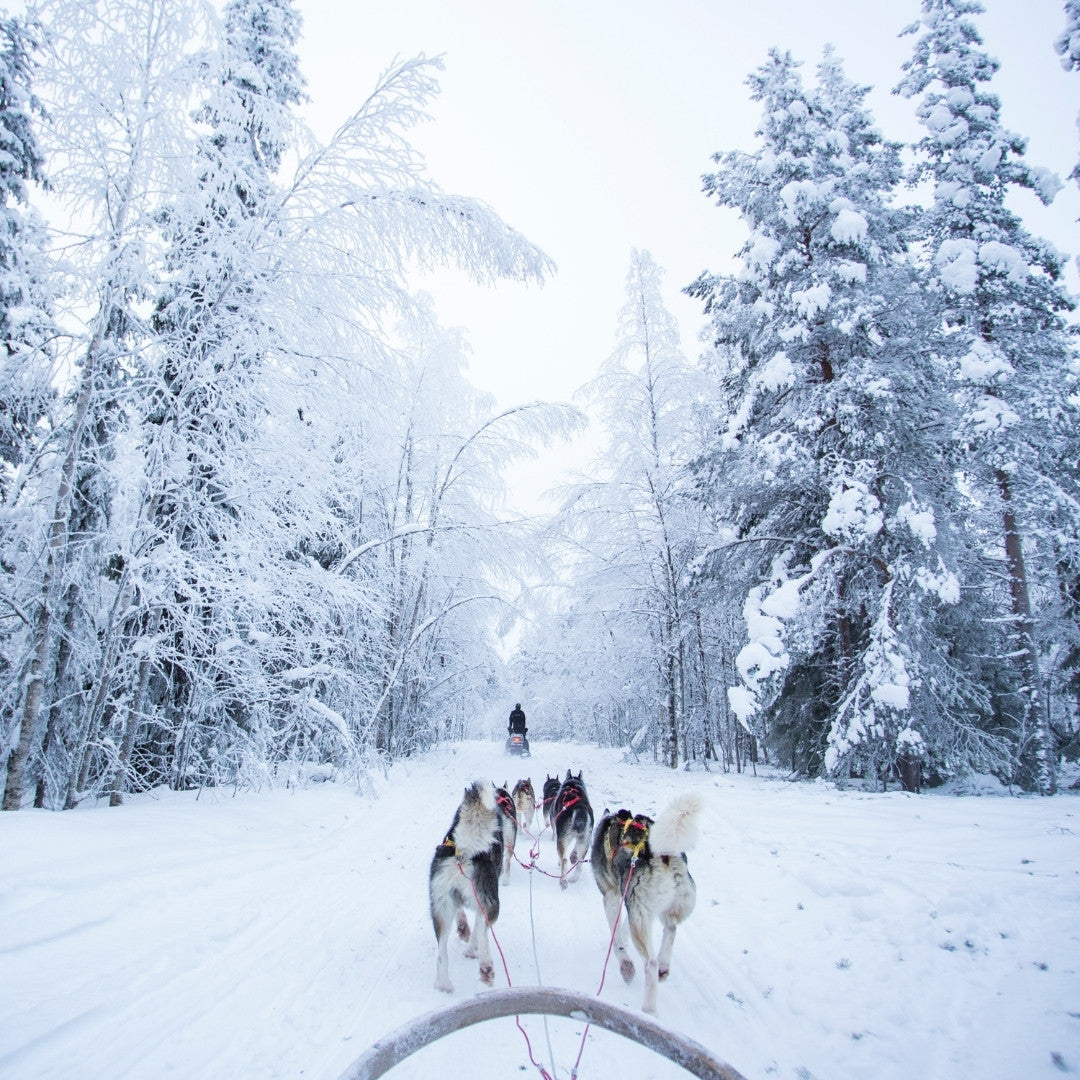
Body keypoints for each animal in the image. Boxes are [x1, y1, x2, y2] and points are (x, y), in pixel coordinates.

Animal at [427, 777, 503, 993]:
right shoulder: (481, 905)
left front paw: (463, 930)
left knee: (441, 953)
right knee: (483, 934)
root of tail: (464, 852)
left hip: (441, 909)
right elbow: (478, 930)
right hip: (491, 904)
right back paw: (485, 967)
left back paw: (443, 984)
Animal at [587, 794, 704, 1010]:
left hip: (639, 918)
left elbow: (616, 939)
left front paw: (625, 965)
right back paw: (664, 966)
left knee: (650, 963)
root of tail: (660, 852)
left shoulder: (612, 897)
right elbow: (623, 927)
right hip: (665, 907)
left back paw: (649, 1009)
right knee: (671, 927)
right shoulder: (633, 906)